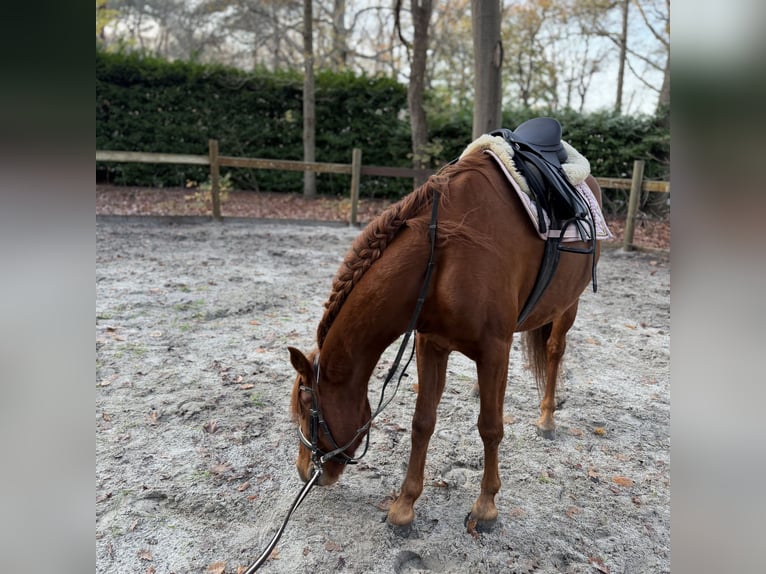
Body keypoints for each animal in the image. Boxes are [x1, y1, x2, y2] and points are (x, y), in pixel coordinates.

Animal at [287, 147, 603, 528]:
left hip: (568, 305)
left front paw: (486, 505)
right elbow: (422, 422)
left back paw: (547, 418)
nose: (305, 472)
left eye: (308, 407)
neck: (443, 258)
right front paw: (405, 505)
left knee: (555, 350)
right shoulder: (431, 344)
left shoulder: (494, 348)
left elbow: (490, 427)